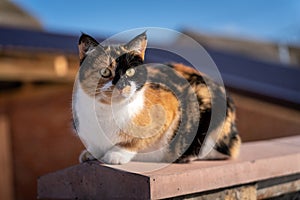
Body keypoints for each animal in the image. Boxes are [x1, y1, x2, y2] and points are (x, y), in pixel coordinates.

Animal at [73, 32, 241, 164]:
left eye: (131, 72)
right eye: (105, 72)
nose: (121, 85)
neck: (107, 113)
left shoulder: (171, 106)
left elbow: (137, 139)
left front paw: (116, 154)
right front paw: (90, 153)